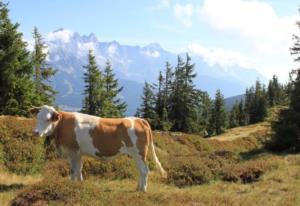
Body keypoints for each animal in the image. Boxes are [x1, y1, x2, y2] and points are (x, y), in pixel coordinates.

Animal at [29, 105, 168, 192]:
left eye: (48, 119)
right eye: (37, 117)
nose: (35, 132)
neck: (61, 126)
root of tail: (139, 119)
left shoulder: (72, 151)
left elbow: (73, 170)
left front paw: (71, 185)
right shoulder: (78, 152)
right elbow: (79, 169)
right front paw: (79, 184)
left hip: (139, 153)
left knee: (144, 170)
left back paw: (143, 190)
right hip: (136, 154)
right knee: (140, 170)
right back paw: (138, 187)